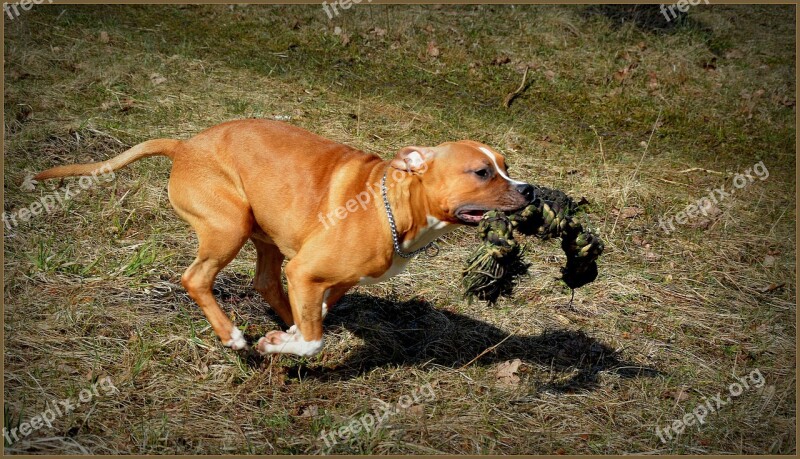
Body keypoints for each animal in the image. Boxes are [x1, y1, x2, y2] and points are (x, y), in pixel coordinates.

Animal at [36, 120, 532, 358]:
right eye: (482, 172)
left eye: (505, 166)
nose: (529, 190)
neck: (393, 204)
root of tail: (185, 146)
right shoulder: (308, 271)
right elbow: (314, 338)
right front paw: (278, 345)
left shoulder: (329, 279)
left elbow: (317, 314)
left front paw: (286, 333)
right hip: (229, 226)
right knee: (196, 279)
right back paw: (234, 337)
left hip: (266, 237)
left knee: (265, 282)